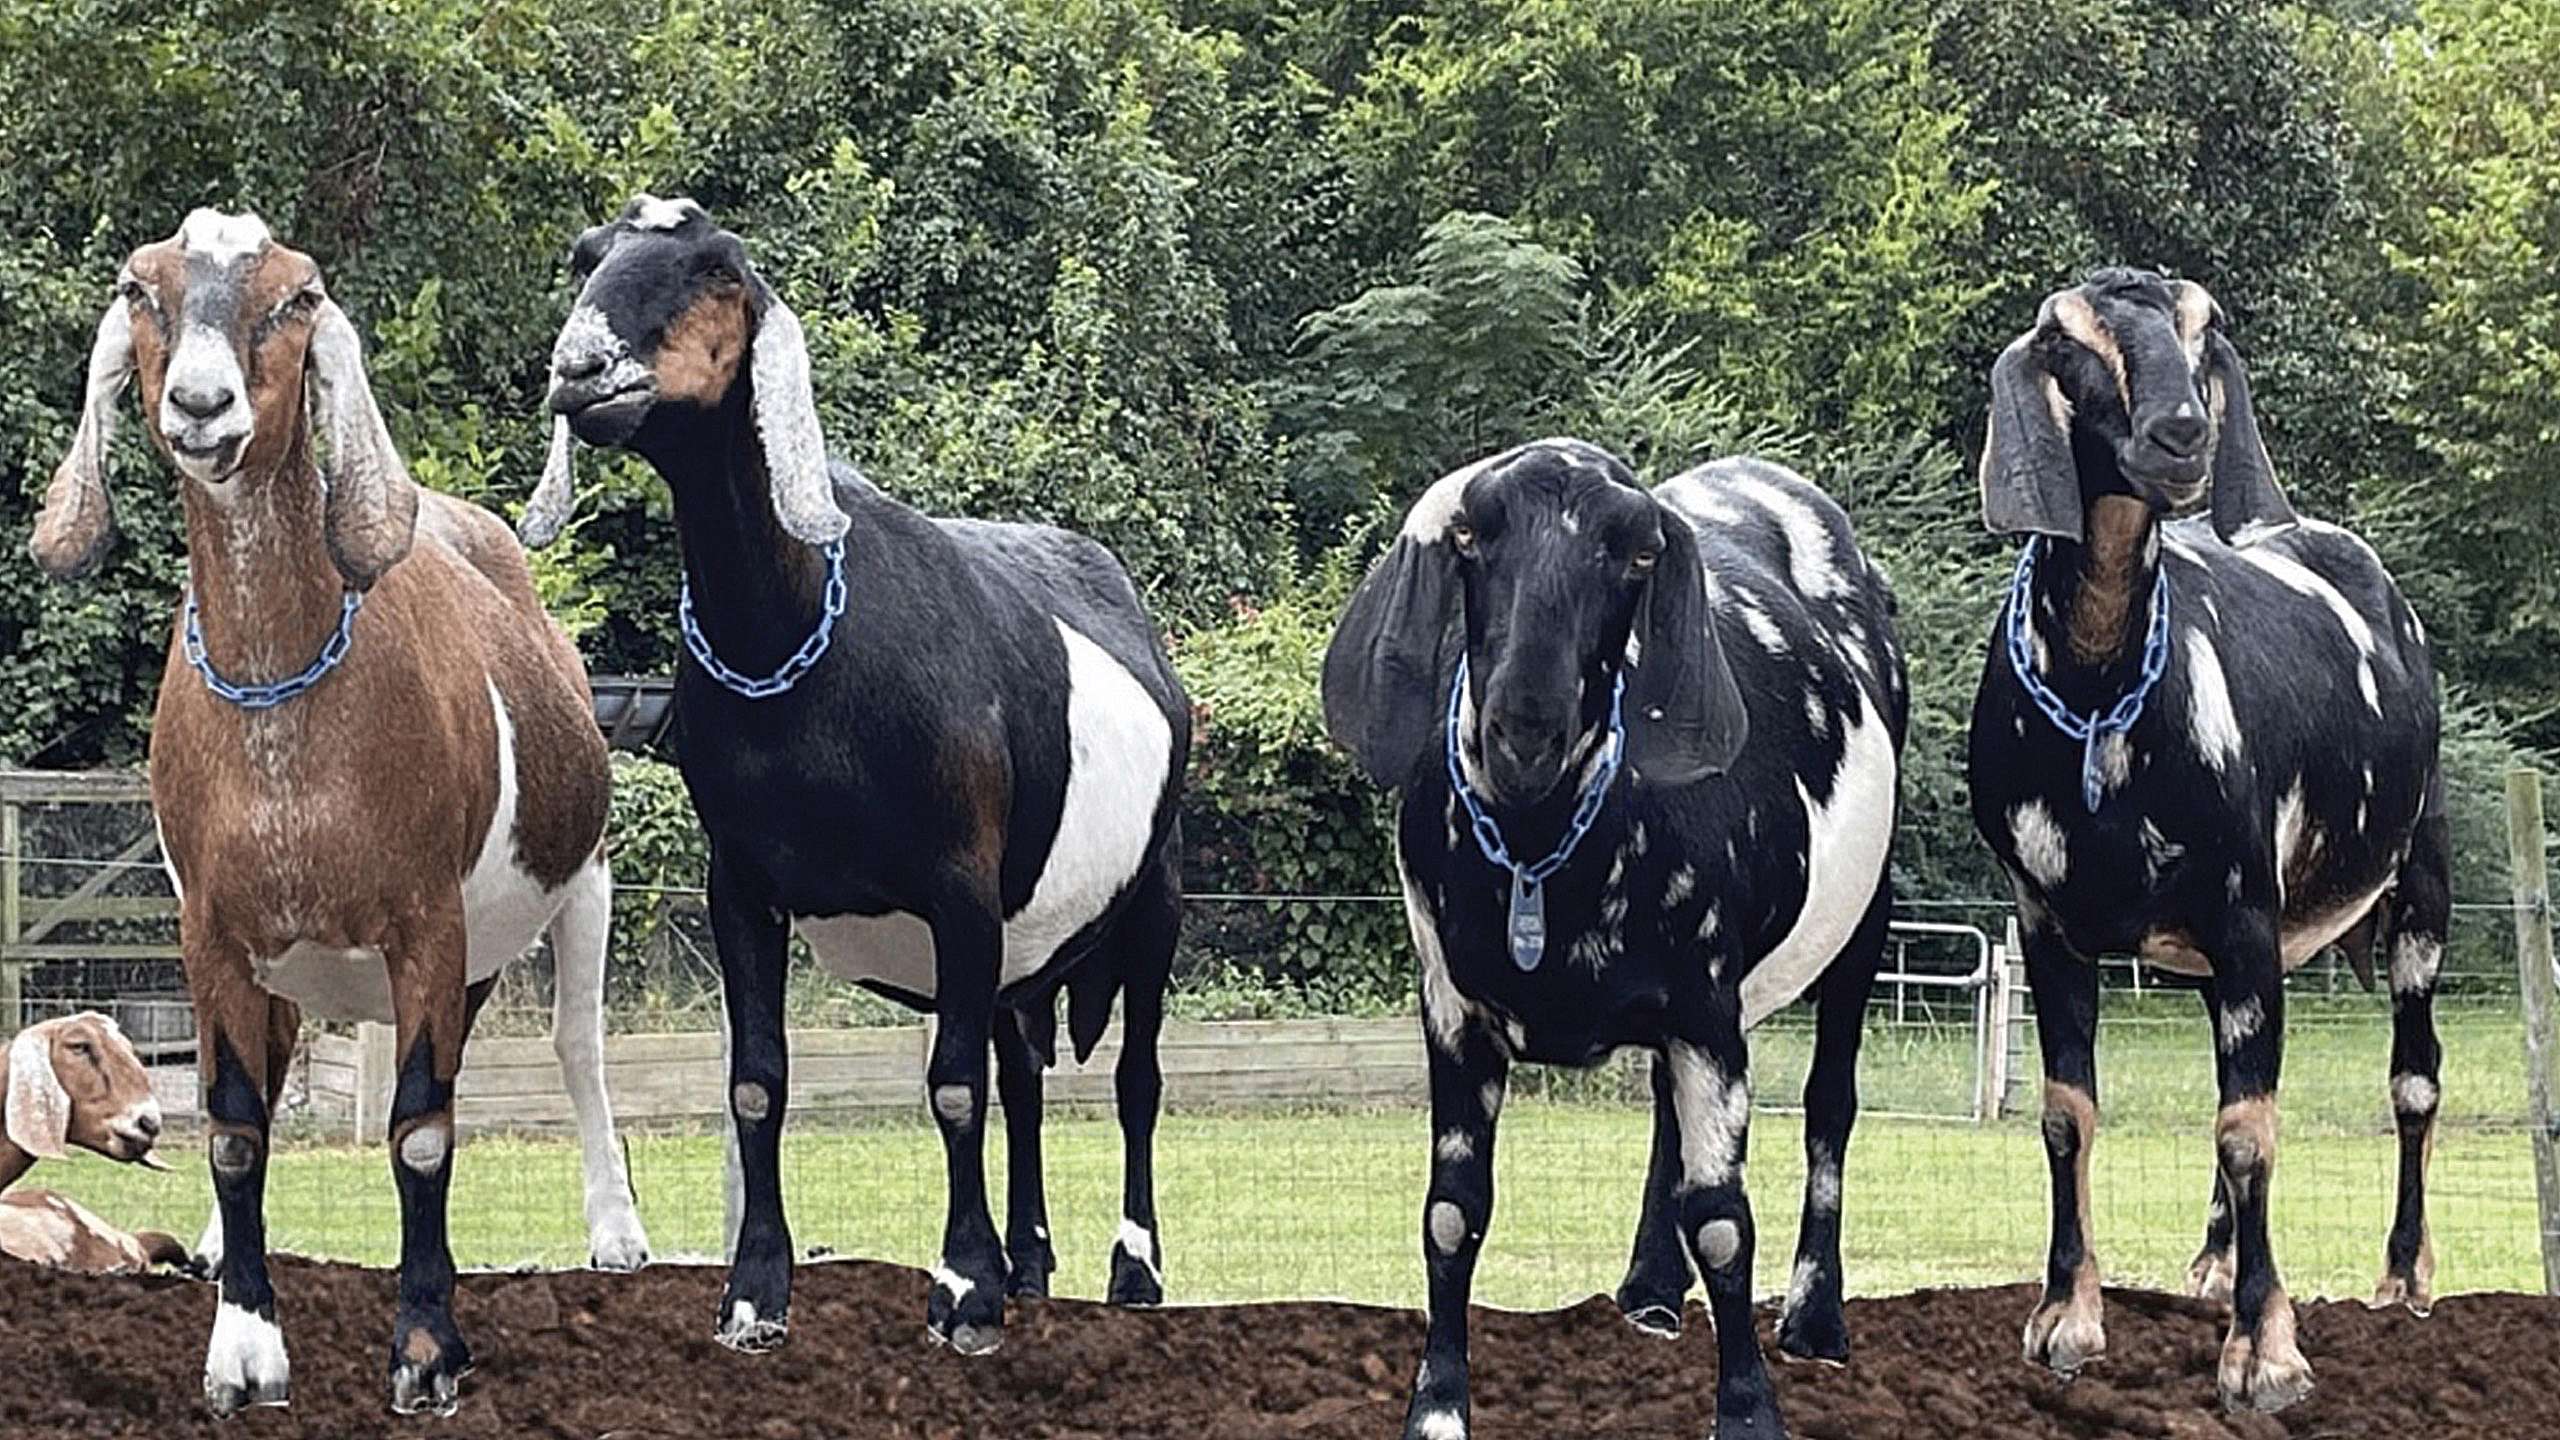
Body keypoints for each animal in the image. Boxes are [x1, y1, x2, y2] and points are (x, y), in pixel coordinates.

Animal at [24, 210, 645, 1414]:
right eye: (142, 289)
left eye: (297, 298)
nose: (202, 404)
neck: (289, 717)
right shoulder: (212, 932)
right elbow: (231, 1126)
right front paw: (243, 1347)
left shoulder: (426, 923)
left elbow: (421, 1132)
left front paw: (425, 1351)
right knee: (275, 1078)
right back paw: (221, 1249)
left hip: (579, 873)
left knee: (577, 1044)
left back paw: (615, 1233)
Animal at [529, 196, 1187, 1352]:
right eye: (587, 259)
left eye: (714, 267)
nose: (582, 368)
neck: (805, 640)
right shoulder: (742, 886)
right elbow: (757, 1085)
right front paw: (754, 1296)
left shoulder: (959, 884)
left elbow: (954, 1089)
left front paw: (961, 1291)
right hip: (1024, 939)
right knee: (1026, 1073)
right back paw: (1031, 1265)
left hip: (1155, 892)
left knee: (1135, 1078)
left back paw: (1129, 1270)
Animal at [1966, 263, 2447, 1404]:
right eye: (2069, 340)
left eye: (2203, 330)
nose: (2180, 432)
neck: (2103, 696)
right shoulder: (2044, 920)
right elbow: (2068, 1113)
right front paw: (2065, 1319)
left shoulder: (2243, 913)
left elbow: (2249, 1128)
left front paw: (2264, 1352)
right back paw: (2215, 1261)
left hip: (2418, 879)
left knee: (2413, 1081)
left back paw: (2403, 1275)